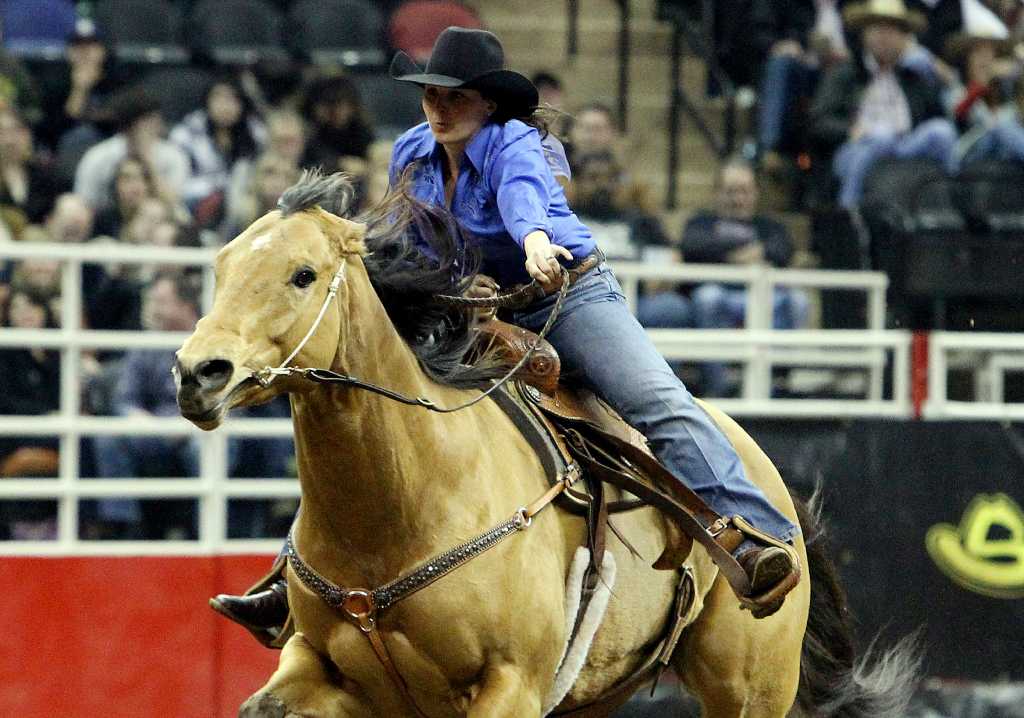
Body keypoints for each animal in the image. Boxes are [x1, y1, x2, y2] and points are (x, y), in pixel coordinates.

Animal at [176, 174, 921, 716]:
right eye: (220, 268)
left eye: (302, 274)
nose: (197, 372)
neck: (403, 505)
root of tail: (775, 494)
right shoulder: (318, 667)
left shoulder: (512, 684)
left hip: (750, 688)